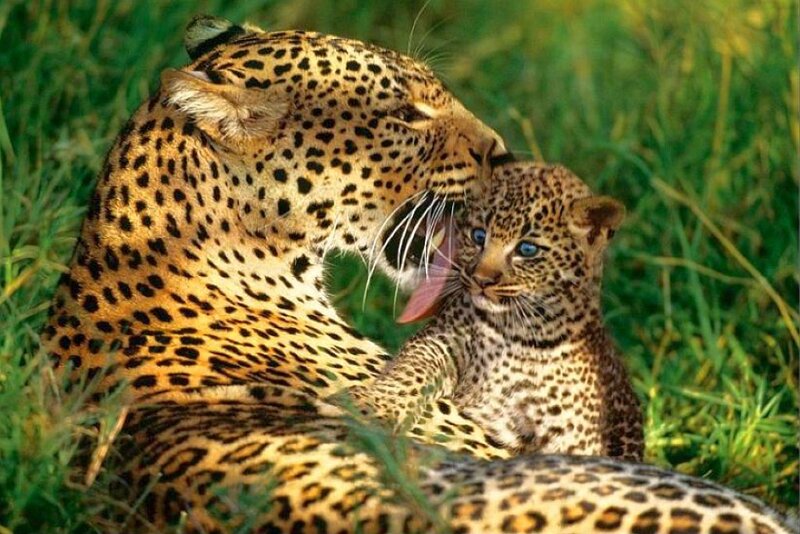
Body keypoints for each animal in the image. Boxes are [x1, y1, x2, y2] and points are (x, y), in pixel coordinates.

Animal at [328, 162, 644, 461]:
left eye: (527, 249)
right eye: (479, 236)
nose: (481, 279)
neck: (519, 332)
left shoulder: (570, 430)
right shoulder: (441, 341)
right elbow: (409, 372)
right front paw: (372, 405)